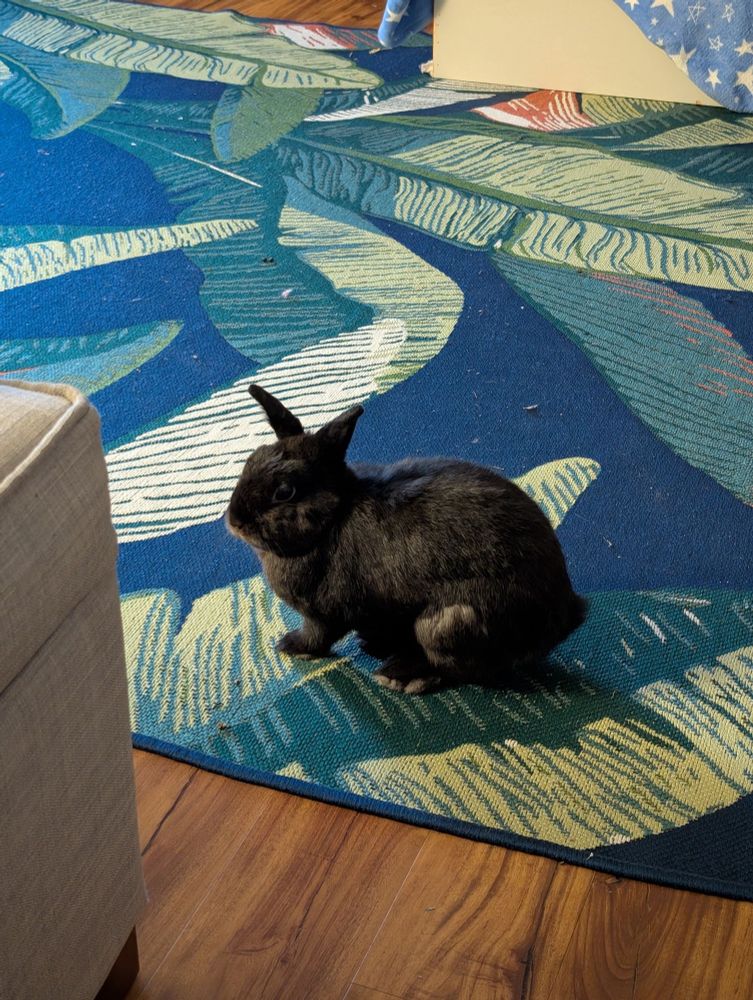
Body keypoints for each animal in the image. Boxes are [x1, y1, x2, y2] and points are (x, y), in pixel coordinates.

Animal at [226, 384, 587, 695]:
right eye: (251, 460)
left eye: (285, 492)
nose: (234, 521)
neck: (333, 518)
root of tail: (566, 614)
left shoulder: (324, 612)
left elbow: (318, 637)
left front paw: (290, 646)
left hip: (447, 624)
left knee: (462, 669)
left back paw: (401, 675)